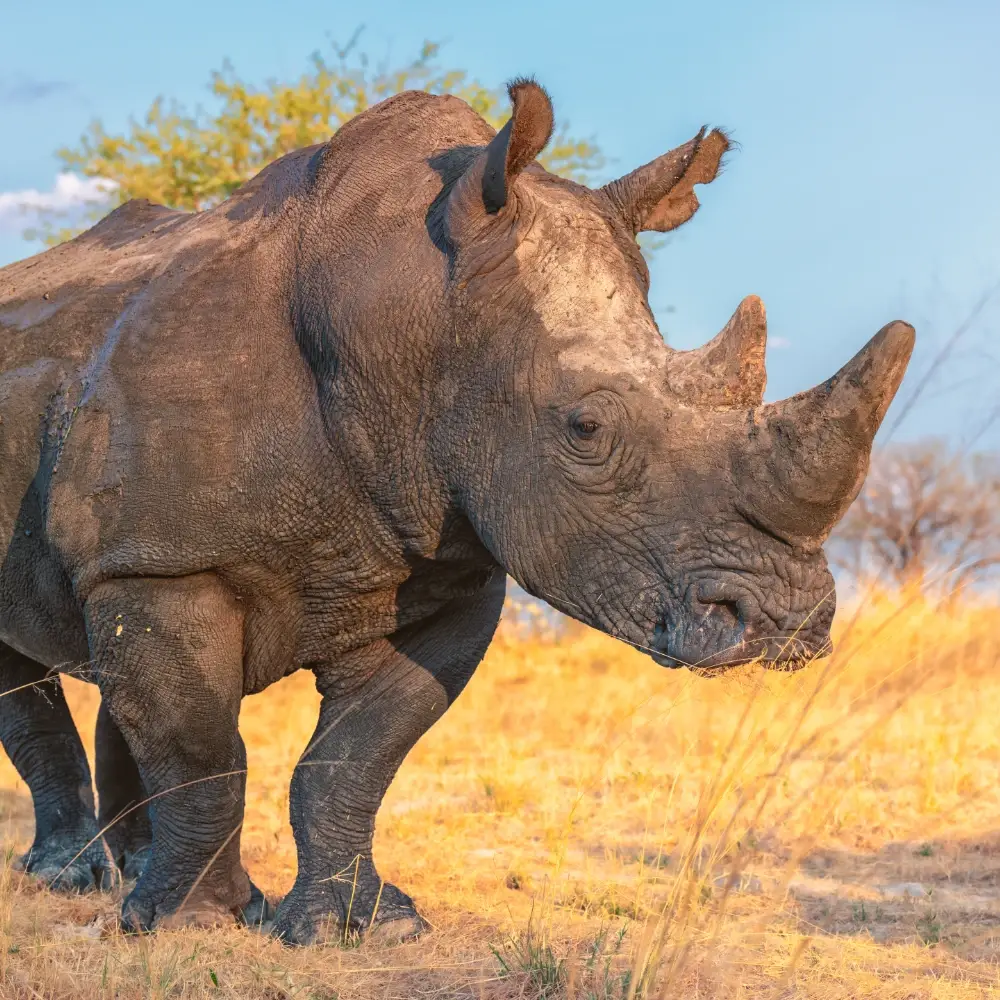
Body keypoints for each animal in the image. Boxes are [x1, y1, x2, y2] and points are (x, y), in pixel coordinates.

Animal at [0, 80, 913, 943]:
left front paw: (366, 928)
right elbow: (201, 754)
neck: (413, 320)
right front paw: (201, 925)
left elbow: (354, 760)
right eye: (586, 428)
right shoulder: (157, 559)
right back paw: (73, 882)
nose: (788, 623)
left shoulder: (447, 567)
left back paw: (124, 875)